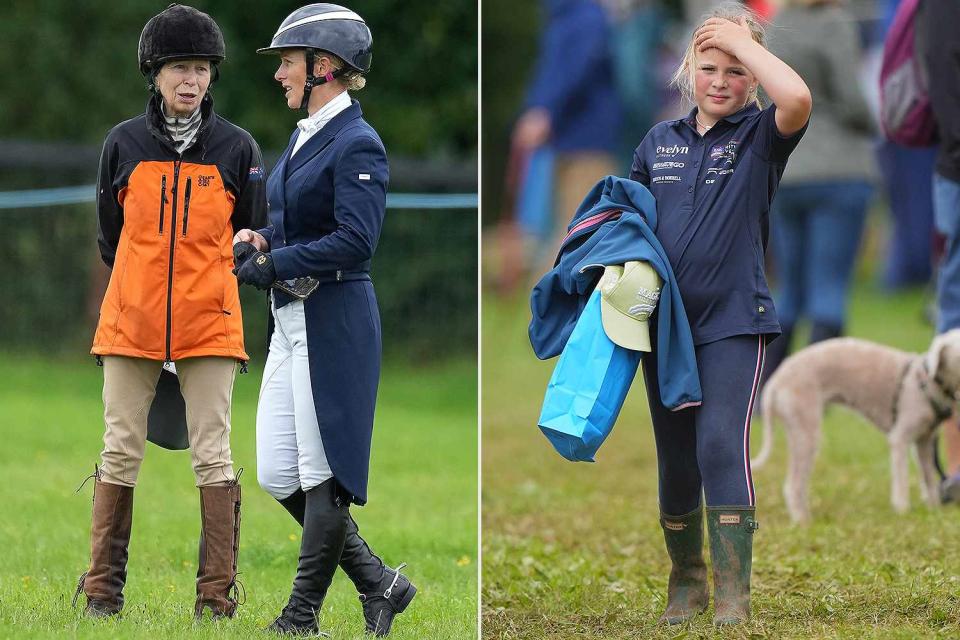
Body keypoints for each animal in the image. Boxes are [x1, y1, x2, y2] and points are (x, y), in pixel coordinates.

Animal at [752, 330, 960, 524]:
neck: (927, 380)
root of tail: (775, 382)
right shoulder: (899, 438)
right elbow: (901, 479)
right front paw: (903, 512)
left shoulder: (925, 441)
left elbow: (929, 477)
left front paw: (934, 510)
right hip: (805, 428)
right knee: (793, 485)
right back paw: (803, 522)